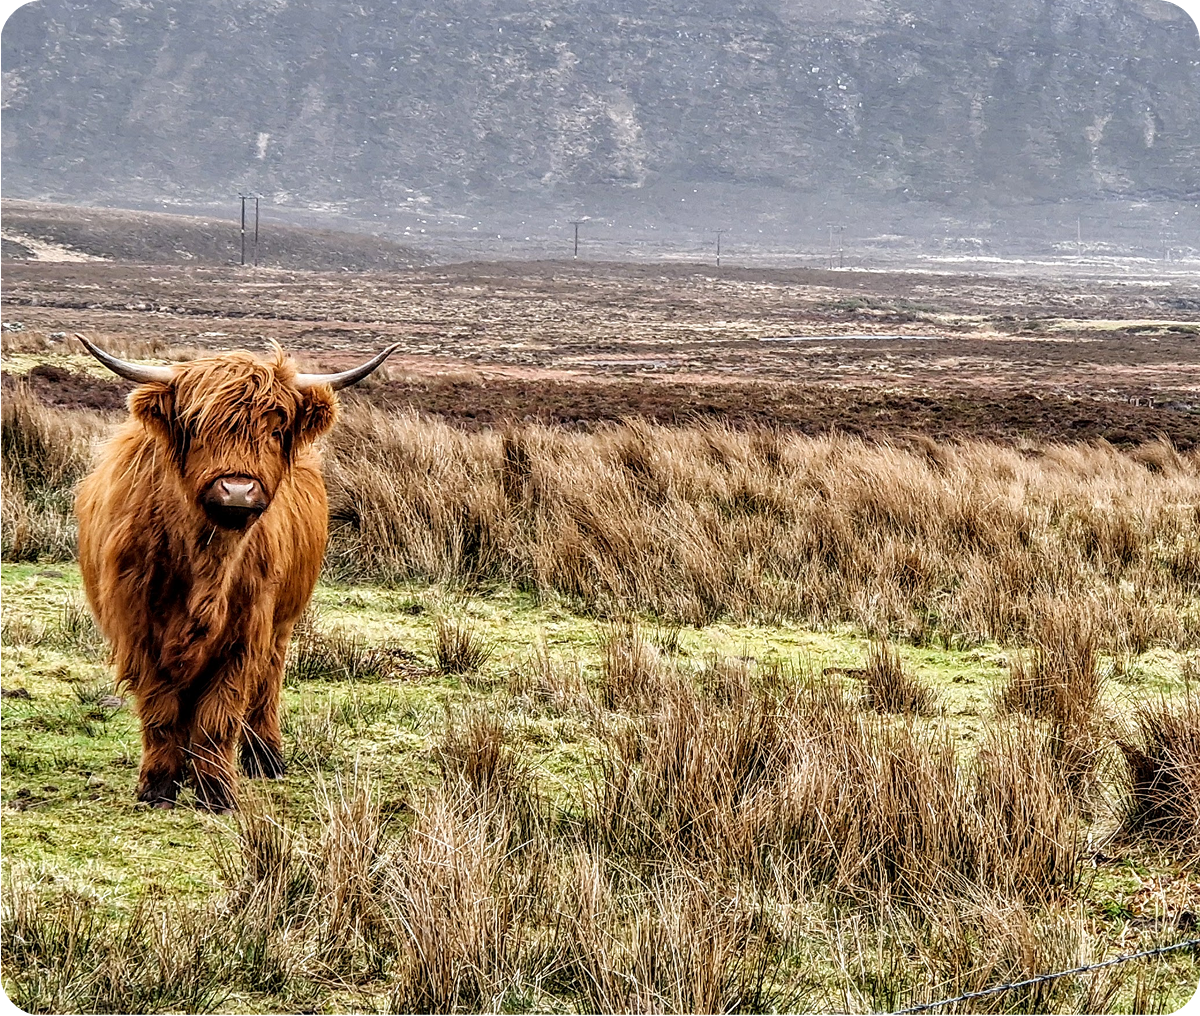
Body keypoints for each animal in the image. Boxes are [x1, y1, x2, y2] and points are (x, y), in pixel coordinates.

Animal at [75, 335, 398, 812]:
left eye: (276, 430)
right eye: (197, 424)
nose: (238, 491)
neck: (205, 564)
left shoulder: (246, 631)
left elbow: (219, 713)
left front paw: (216, 791)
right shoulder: (138, 629)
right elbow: (160, 708)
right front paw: (159, 786)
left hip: (282, 624)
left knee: (267, 684)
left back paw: (266, 757)